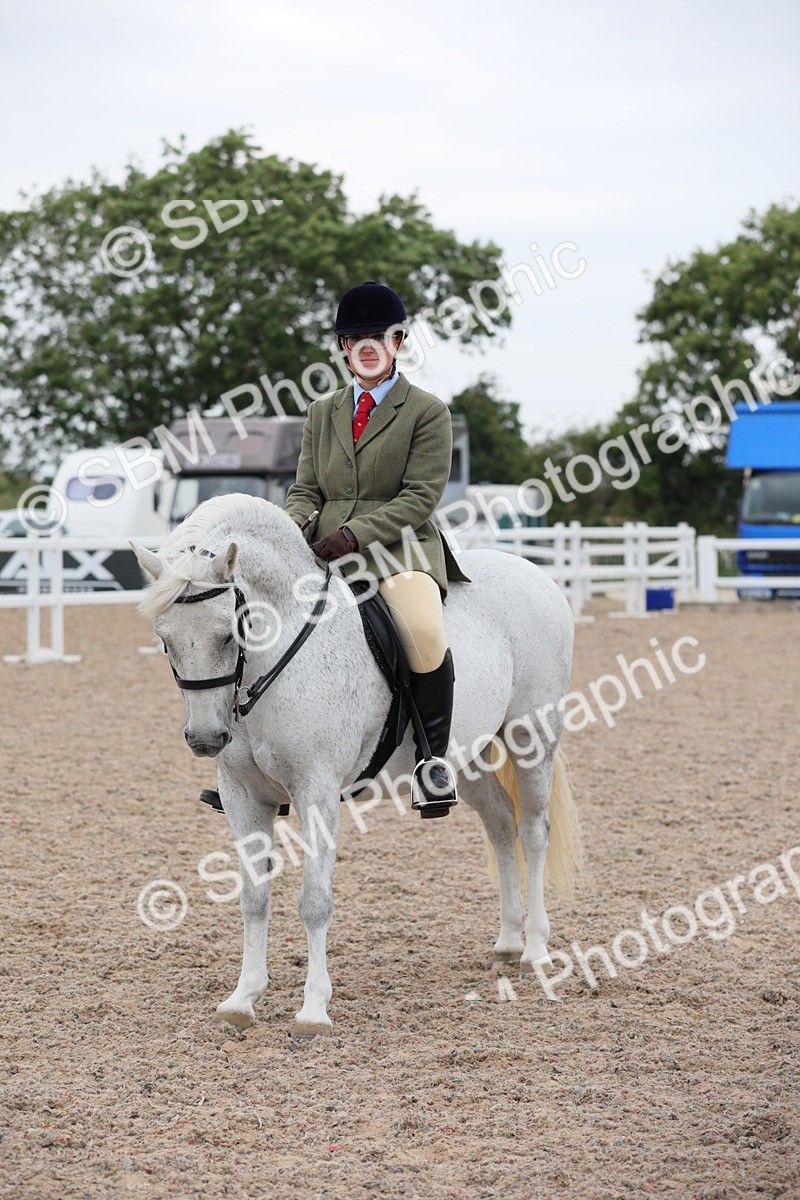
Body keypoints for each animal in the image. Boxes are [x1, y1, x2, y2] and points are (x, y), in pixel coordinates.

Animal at [132, 493, 583, 1037]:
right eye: (164, 639)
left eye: (229, 634)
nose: (205, 738)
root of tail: (534, 572)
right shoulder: (243, 796)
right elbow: (253, 896)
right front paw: (243, 998)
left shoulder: (317, 792)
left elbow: (314, 901)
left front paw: (313, 1009)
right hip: (470, 753)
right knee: (500, 826)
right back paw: (508, 945)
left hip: (530, 735)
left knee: (534, 832)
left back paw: (536, 951)